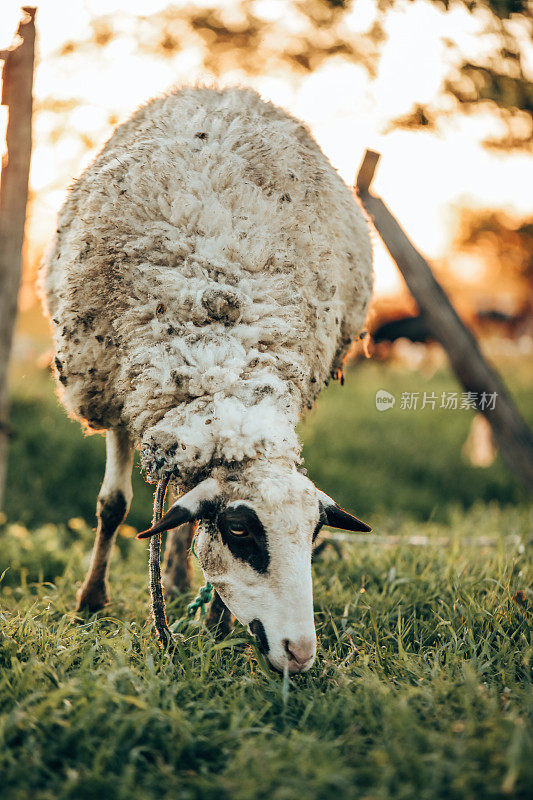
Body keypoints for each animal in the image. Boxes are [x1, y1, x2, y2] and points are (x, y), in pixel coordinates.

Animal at [41, 86, 372, 676]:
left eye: (315, 534)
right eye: (240, 531)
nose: (300, 654)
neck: (219, 356)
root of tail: (220, 89)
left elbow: (188, 523)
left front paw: (215, 623)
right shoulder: (117, 394)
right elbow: (112, 506)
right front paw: (90, 602)